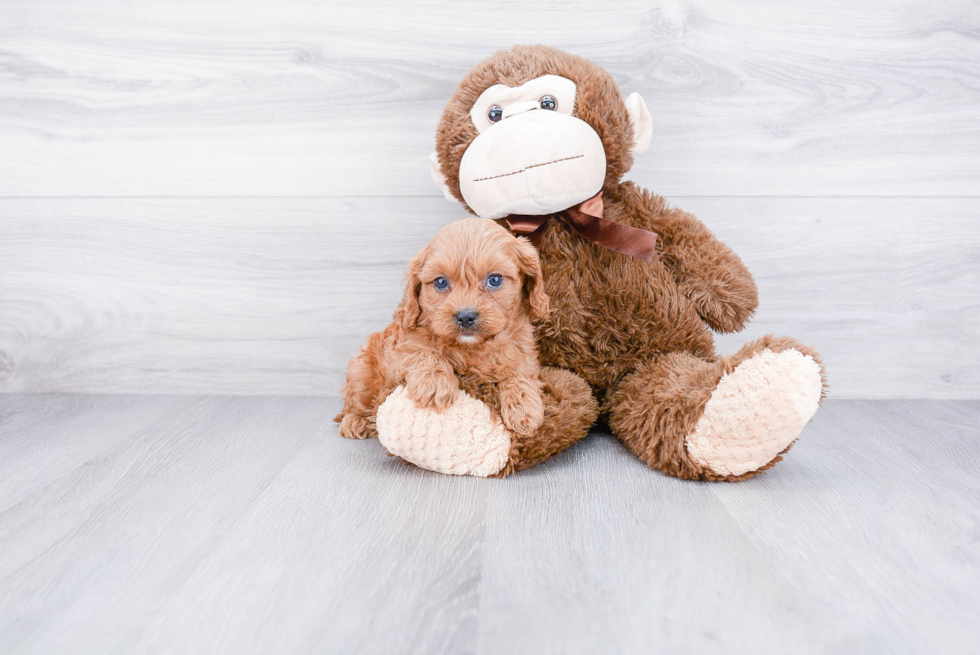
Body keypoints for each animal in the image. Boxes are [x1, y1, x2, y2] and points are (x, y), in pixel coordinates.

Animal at [334, 219, 552, 440]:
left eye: (495, 279)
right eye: (440, 282)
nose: (465, 316)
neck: (472, 348)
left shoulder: (523, 351)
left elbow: (520, 373)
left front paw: (524, 407)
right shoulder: (398, 350)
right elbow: (422, 352)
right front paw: (435, 382)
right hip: (360, 371)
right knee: (356, 401)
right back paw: (355, 421)